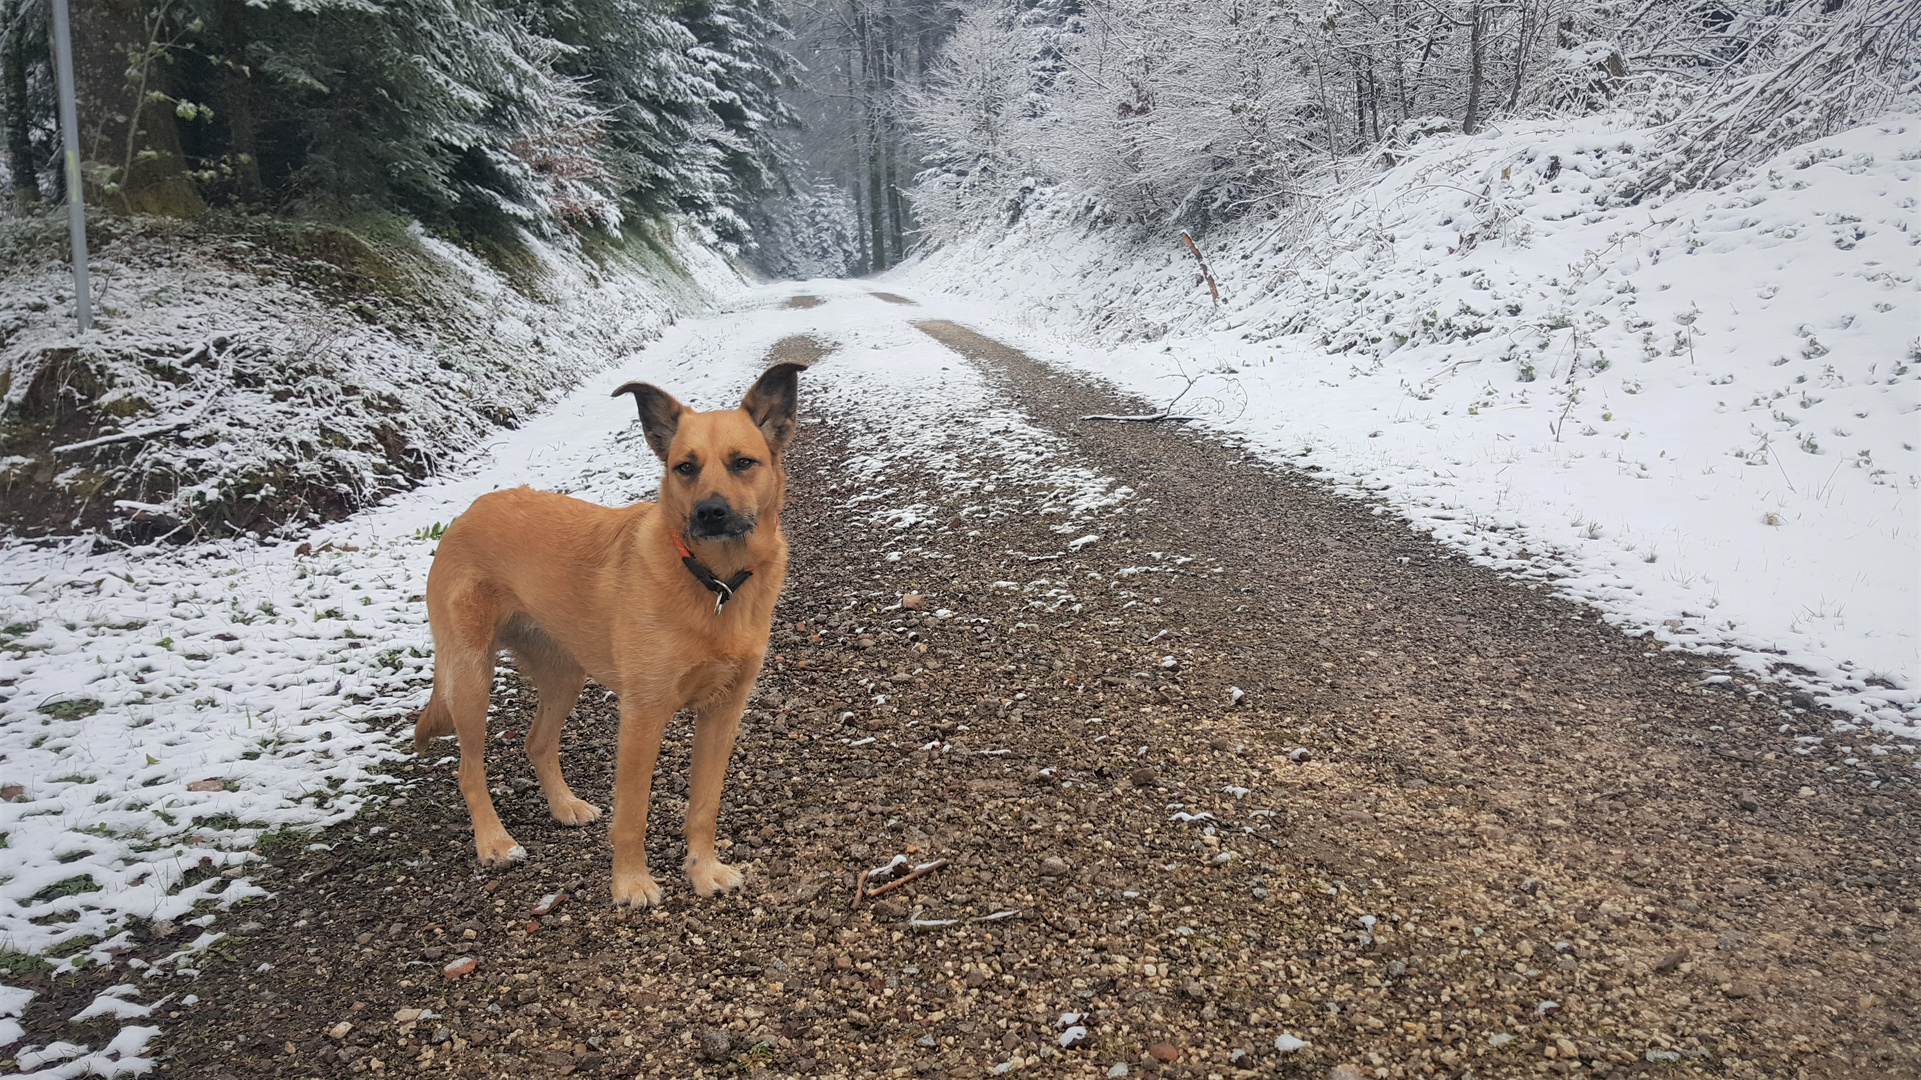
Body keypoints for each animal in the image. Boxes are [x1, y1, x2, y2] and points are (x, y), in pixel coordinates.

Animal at [416, 361, 806, 899]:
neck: (713, 582)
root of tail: (466, 513)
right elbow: (633, 813)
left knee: (537, 741)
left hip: (564, 674)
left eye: (743, 462)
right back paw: (494, 842)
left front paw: (702, 870)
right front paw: (631, 883)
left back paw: (564, 806)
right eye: (684, 467)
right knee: (469, 769)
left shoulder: (723, 713)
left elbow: (704, 807)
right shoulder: (642, 716)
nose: (709, 512)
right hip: (472, 679)